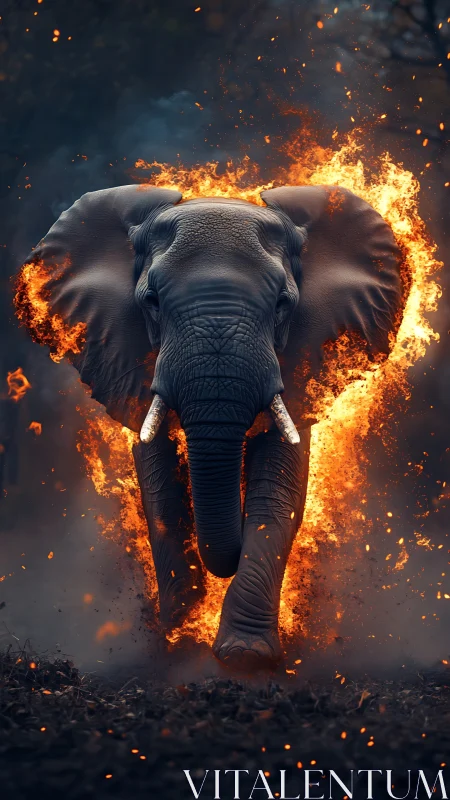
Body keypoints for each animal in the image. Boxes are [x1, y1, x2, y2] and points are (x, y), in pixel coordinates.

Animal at [18, 183, 403, 670]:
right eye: (152, 303)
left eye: (283, 305)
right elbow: (161, 490)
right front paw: (177, 643)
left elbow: (278, 490)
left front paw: (244, 657)